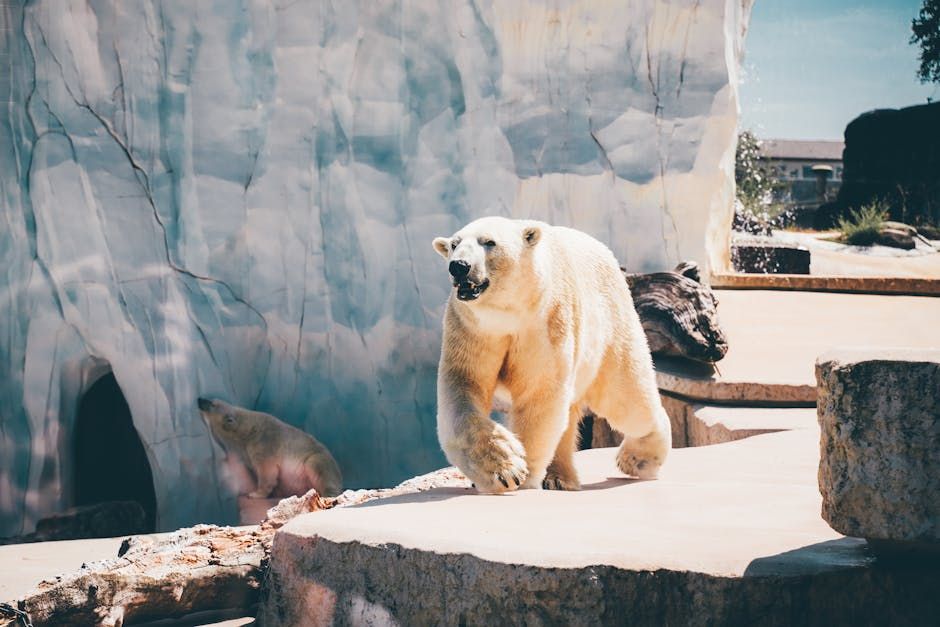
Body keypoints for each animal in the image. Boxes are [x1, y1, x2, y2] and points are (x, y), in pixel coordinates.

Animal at [197, 398, 343, 498]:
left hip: (316, 458)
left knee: (318, 468)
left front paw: (255, 493)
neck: (248, 430)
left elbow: (267, 469)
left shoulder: (265, 443)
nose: (199, 399)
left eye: (212, 404)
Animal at [431, 216, 671, 493]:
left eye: (489, 242)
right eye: (454, 244)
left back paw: (635, 459)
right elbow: (463, 388)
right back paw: (560, 477)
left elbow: (539, 393)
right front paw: (505, 469)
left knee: (627, 400)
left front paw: (521, 476)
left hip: (610, 328)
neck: (507, 314)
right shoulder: (472, 329)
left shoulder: (544, 323)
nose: (459, 266)